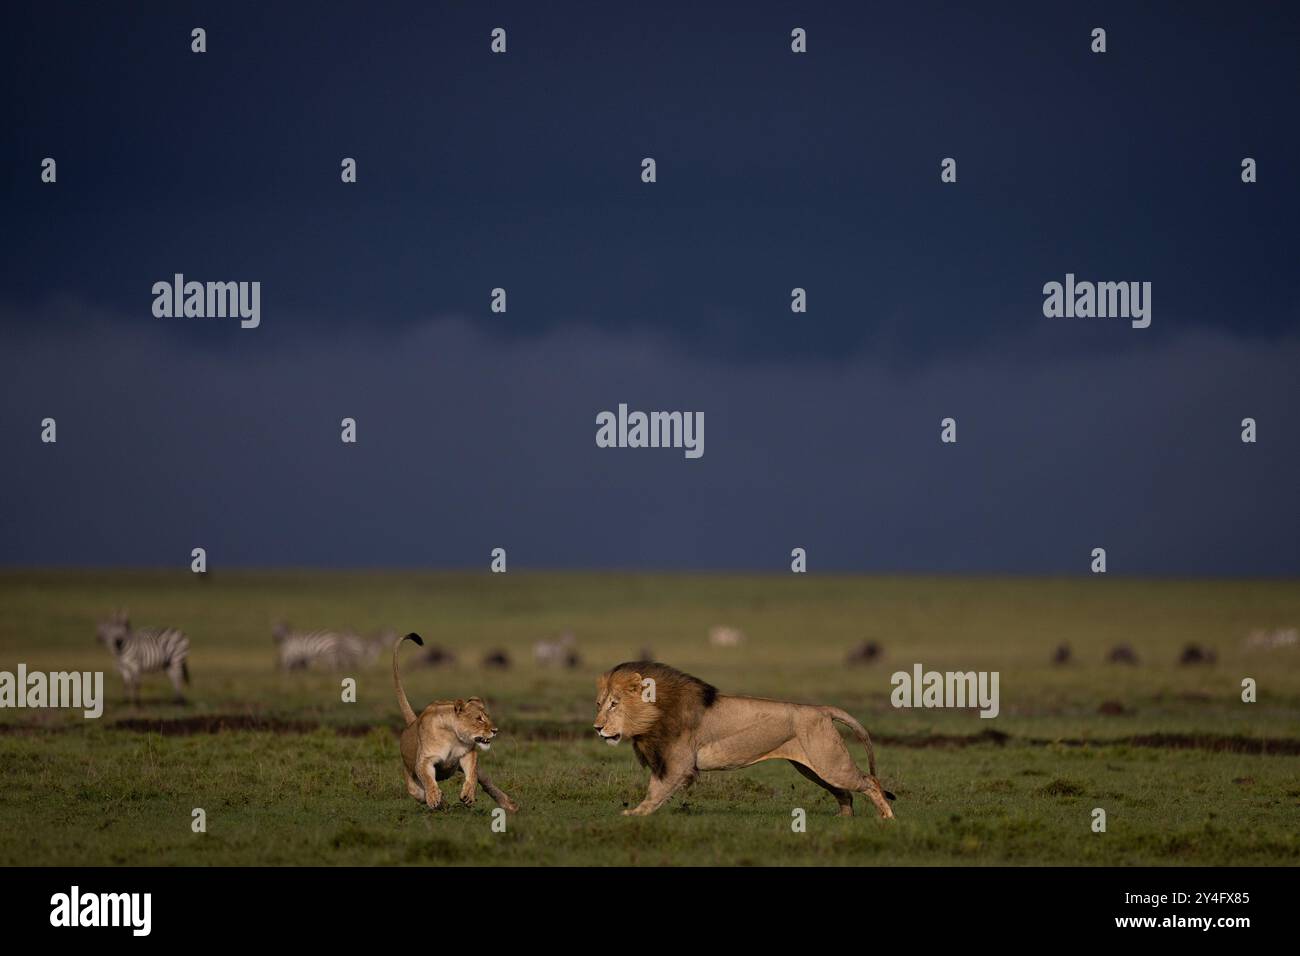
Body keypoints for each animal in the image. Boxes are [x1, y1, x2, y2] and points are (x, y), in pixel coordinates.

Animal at [390, 632, 517, 811]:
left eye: (487, 716)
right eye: (478, 719)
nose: (495, 730)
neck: (452, 736)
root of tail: (413, 722)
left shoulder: (468, 754)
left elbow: (472, 775)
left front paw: (468, 794)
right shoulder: (424, 760)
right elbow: (428, 780)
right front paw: (434, 798)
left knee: (486, 781)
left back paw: (509, 804)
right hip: (410, 778)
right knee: (418, 792)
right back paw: (440, 802)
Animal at [595, 660, 894, 816]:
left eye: (614, 704)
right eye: (599, 704)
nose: (597, 727)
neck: (654, 713)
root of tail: (822, 709)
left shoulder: (678, 762)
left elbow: (655, 791)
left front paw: (635, 815)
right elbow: (655, 789)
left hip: (829, 764)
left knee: (870, 782)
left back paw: (886, 819)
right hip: (813, 768)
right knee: (845, 793)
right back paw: (844, 821)